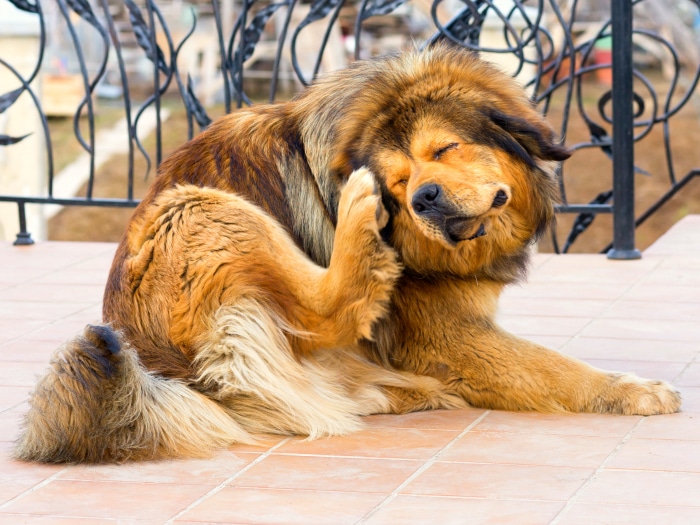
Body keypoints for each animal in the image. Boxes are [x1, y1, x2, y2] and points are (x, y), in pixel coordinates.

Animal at [16, 44, 680, 462]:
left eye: (443, 150)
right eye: (398, 182)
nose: (423, 199)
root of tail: (158, 370)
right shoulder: (447, 334)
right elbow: (555, 368)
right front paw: (632, 392)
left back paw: (402, 390)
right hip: (199, 208)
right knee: (327, 309)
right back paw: (358, 227)